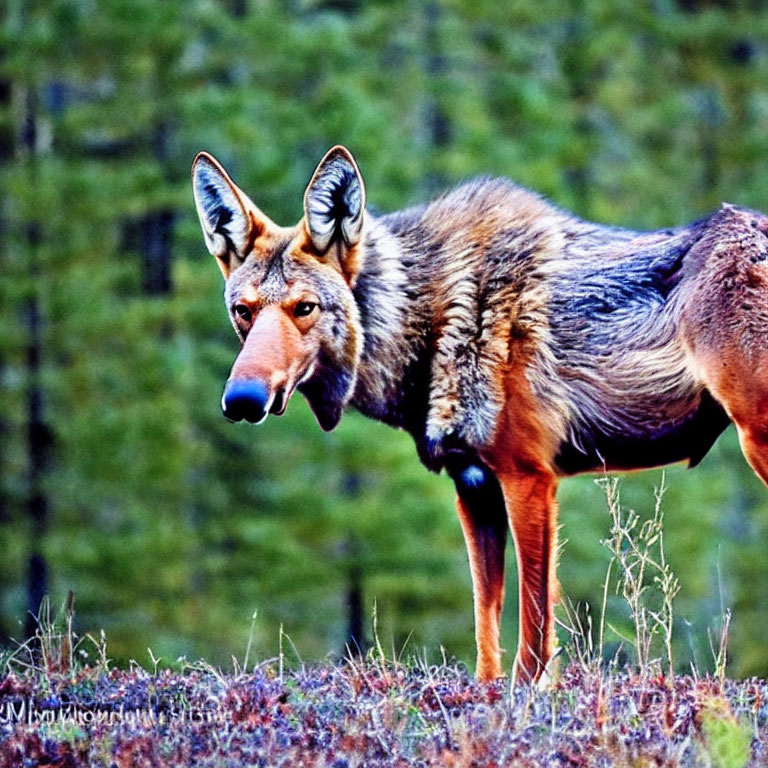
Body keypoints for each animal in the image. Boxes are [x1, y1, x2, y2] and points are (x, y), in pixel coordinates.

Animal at [190, 146, 768, 684]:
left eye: (304, 308)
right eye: (243, 312)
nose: (241, 399)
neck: (431, 323)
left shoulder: (529, 478)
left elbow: (533, 640)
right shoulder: (473, 486)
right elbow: (486, 633)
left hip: (755, 442)